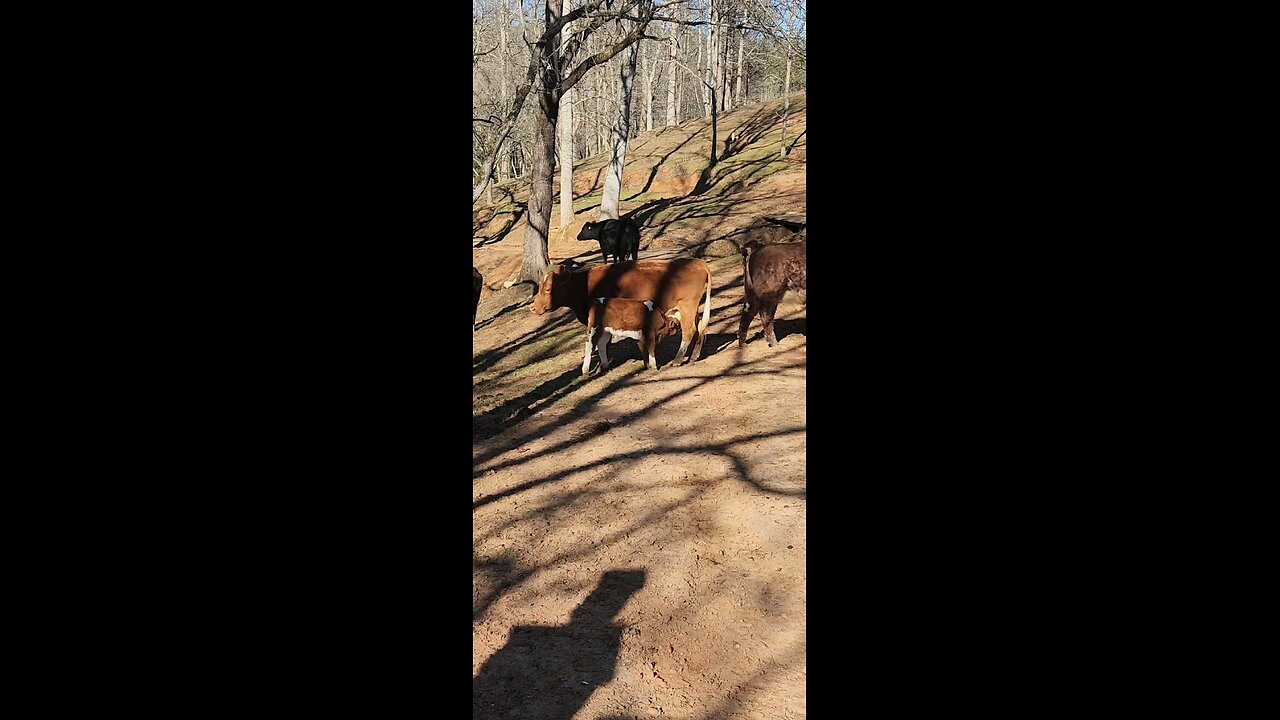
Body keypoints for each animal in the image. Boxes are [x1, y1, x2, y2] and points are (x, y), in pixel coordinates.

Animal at [531, 258, 712, 368]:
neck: (586, 285)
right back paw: (694, 356)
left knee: (689, 331)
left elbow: (604, 342)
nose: (533, 308)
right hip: (691, 308)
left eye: (548, 288)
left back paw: (677, 360)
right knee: (700, 328)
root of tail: (697, 262)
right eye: (540, 287)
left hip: (687, 306)